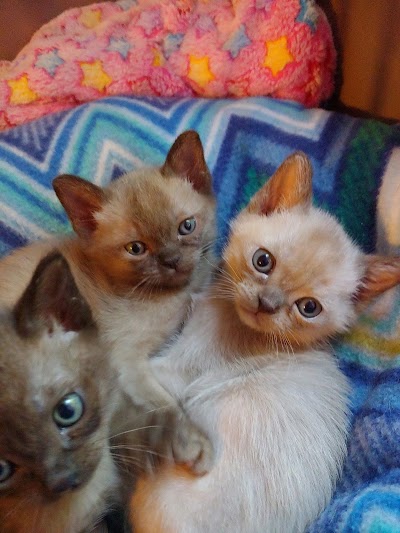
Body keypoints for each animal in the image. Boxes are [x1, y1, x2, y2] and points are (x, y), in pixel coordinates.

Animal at [0, 129, 216, 470]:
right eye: (136, 249)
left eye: (187, 227)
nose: (171, 261)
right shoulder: (127, 363)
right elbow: (167, 405)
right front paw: (191, 441)